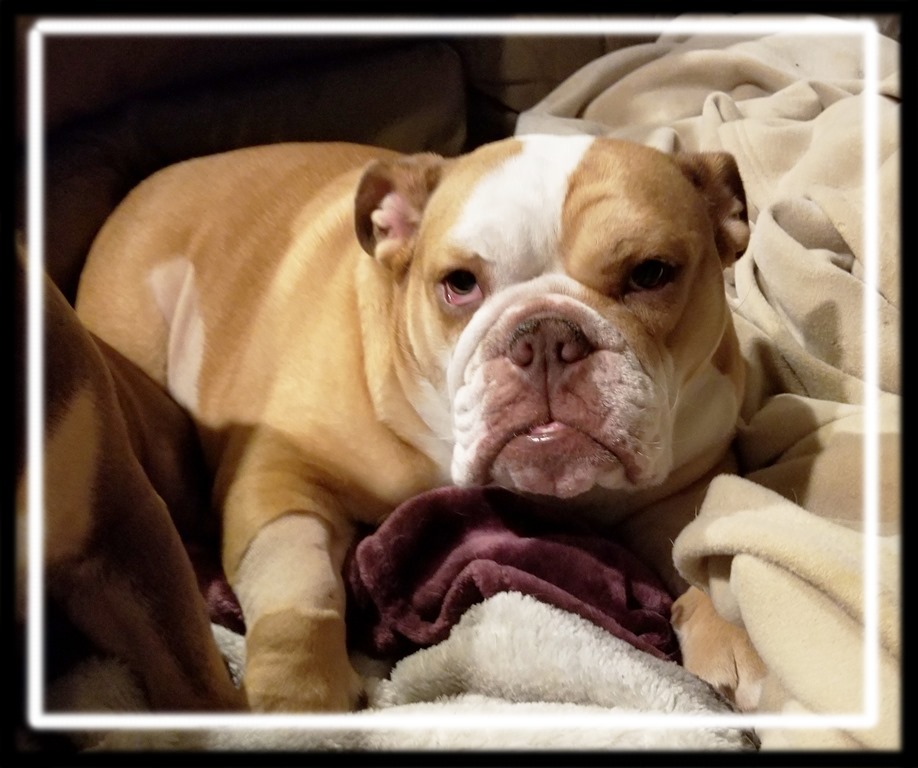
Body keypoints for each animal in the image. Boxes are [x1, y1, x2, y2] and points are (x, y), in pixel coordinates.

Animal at [73, 135, 764, 712]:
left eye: (651, 273)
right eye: (458, 284)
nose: (546, 336)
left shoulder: (679, 488)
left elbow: (695, 551)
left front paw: (733, 637)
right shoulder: (279, 477)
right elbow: (298, 585)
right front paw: (298, 693)